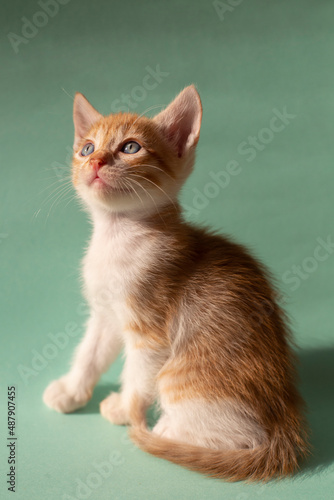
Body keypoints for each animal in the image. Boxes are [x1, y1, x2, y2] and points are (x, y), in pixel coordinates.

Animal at [43, 85, 310, 480]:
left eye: (130, 147)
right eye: (87, 148)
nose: (95, 162)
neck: (117, 239)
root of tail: (285, 423)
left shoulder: (150, 330)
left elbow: (137, 375)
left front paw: (123, 409)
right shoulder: (106, 314)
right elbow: (90, 353)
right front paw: (72, 391)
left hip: (178, 378)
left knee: (237, 436)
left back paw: (167, 431)